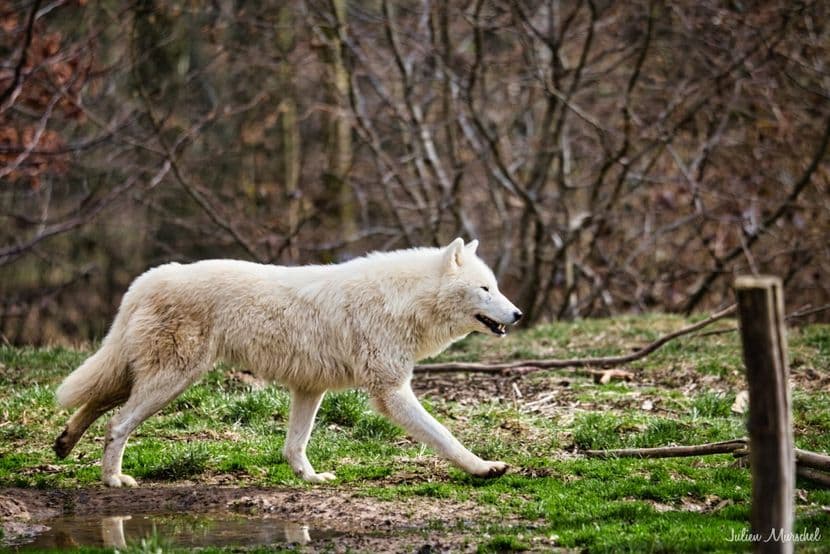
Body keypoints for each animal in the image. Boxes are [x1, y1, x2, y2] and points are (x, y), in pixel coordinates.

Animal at [54, 238, 522, 487]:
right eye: (485, 289)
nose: (517, 314)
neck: (402, 302)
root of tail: (147, 278)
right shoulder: (390, 392)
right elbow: (445, 436)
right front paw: (485, 468)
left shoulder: (310, 388)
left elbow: (294, 444)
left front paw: (310, 479)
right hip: (172, 381)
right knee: (117, 425)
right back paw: (112, 479)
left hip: (147, 377)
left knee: (93, 403)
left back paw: (63, 444)